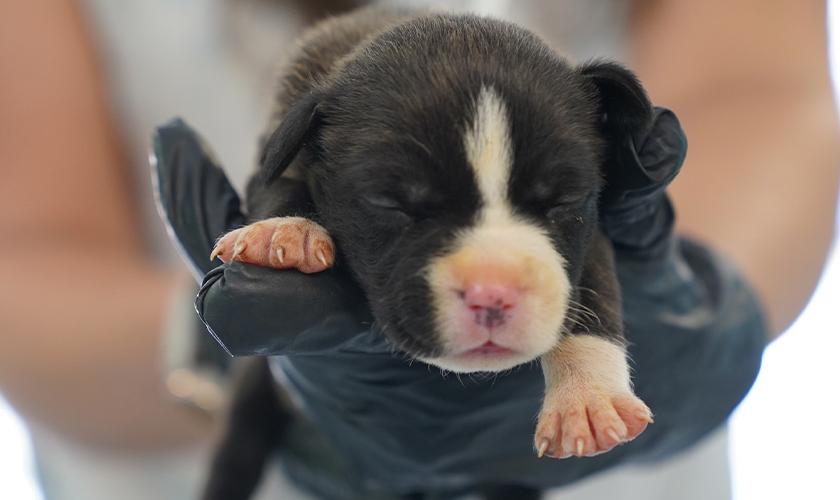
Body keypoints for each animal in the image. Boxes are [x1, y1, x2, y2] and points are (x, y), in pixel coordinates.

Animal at [205, 4, 656, 500]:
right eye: (391, 204)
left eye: (563, 201)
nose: (493, 295)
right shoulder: (277, 149)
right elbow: (278, 183)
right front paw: (284, 229)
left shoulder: (595, 225)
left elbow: (594, 289)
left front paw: (588, 396)